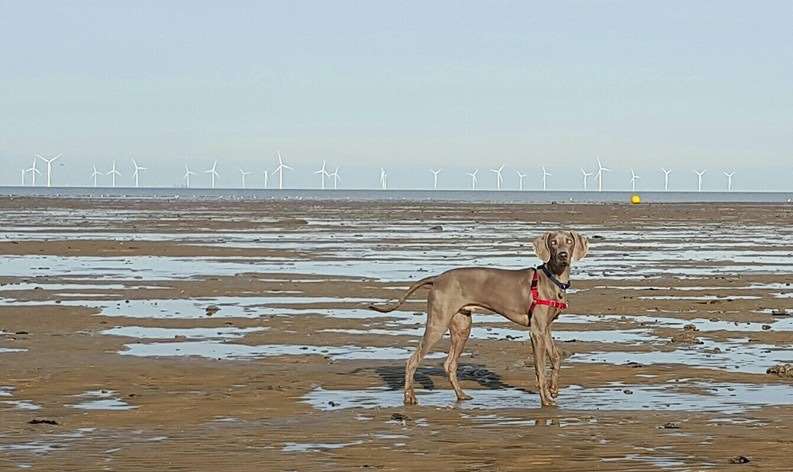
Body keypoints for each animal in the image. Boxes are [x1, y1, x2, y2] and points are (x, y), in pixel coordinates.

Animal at [372, 231, 588, 406]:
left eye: (569, 241)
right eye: (553, 242)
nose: (563, 255)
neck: (553, 279)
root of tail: (438, 278)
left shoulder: (546, 328)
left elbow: (556, 358)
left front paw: (554, 389)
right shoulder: (536, 331)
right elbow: (540, 369)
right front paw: (546, 399)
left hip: (462, 326)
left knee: (449, 364)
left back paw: (461, 396)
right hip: (437, 324)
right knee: (412, 360)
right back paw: (410, 397)